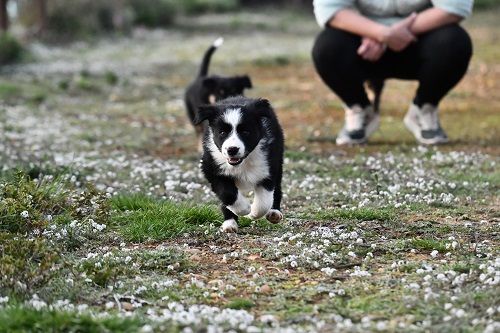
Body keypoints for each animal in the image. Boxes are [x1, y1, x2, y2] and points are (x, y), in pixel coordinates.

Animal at [194, 94, 284, 232]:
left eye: (245, 132)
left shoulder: (268, 166)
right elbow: (227, 194)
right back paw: (230, 224)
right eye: (222, 132)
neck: (243, 162)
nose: (232, 149)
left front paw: (253, 212)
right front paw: (244, 209)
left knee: (277, 188)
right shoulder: (211, 168)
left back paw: (274, 213)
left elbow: (264, 202)